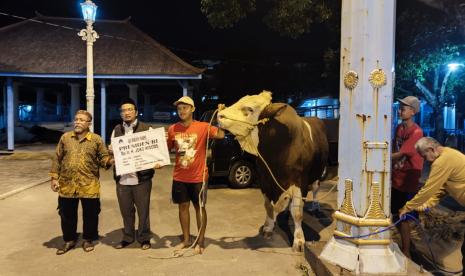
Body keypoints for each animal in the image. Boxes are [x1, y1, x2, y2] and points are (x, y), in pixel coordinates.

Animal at [217, 91, 328, 251]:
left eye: (249, 109)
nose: (219, 115)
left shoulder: (300, 181)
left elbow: (297, 212)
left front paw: (299, 240)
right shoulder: (264, 180)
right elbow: (268, 207)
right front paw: (268, 228)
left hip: (318, 174)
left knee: (316, 189)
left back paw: (315, 206)